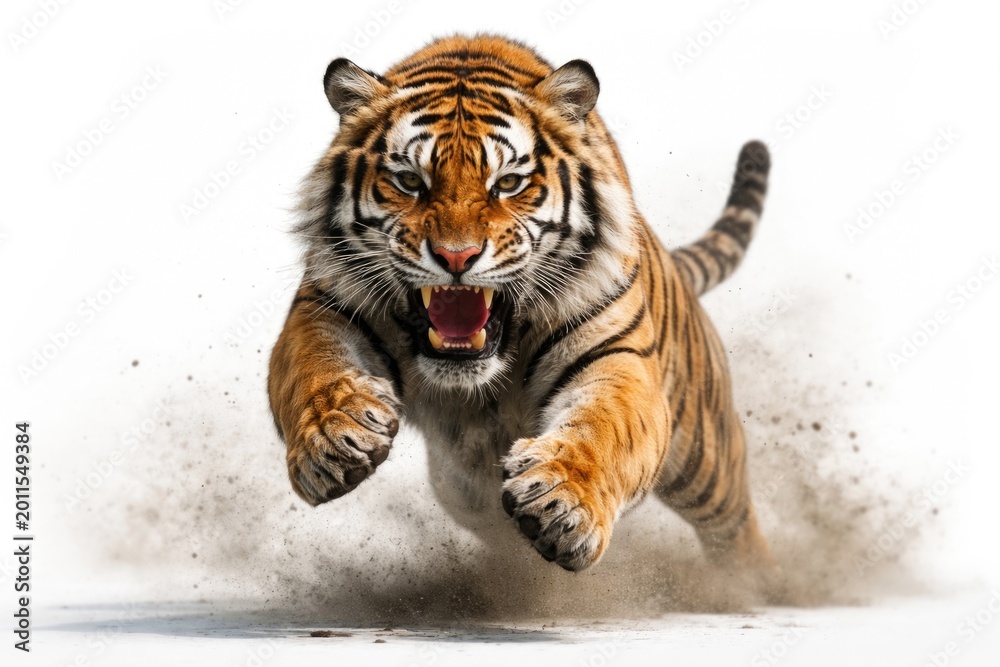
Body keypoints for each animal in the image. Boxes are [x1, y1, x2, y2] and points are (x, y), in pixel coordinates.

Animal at [268, 34, 773, 573]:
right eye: (409, 181)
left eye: (508, 183)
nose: (456, 256)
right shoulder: (323, 307)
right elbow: (312, 371)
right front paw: (334, 437)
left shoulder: (617, 356)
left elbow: (603, 427)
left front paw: (561, 501)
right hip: (460, 490)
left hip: (707, 460)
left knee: (736, 527)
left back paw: (754, 582)